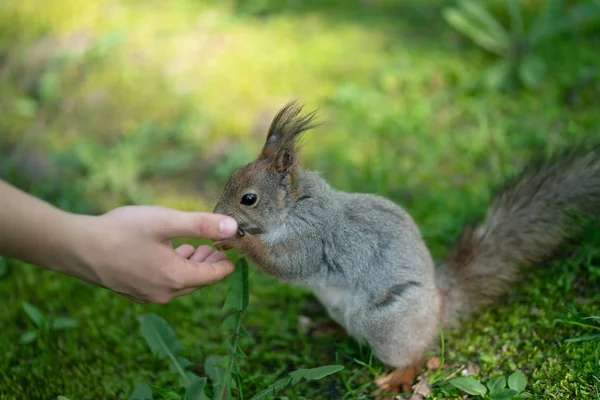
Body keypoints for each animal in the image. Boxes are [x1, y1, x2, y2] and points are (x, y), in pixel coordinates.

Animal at [211, 101, 600, 396]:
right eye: (230, 178)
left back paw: (396, 378)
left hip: (386, 320)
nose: (216, 214)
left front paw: (236, 239)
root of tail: (439, 307)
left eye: (249, 198)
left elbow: (286, 265)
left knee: (416, 353)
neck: (295, 205)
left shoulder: (312, 237)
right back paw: (327, 329)